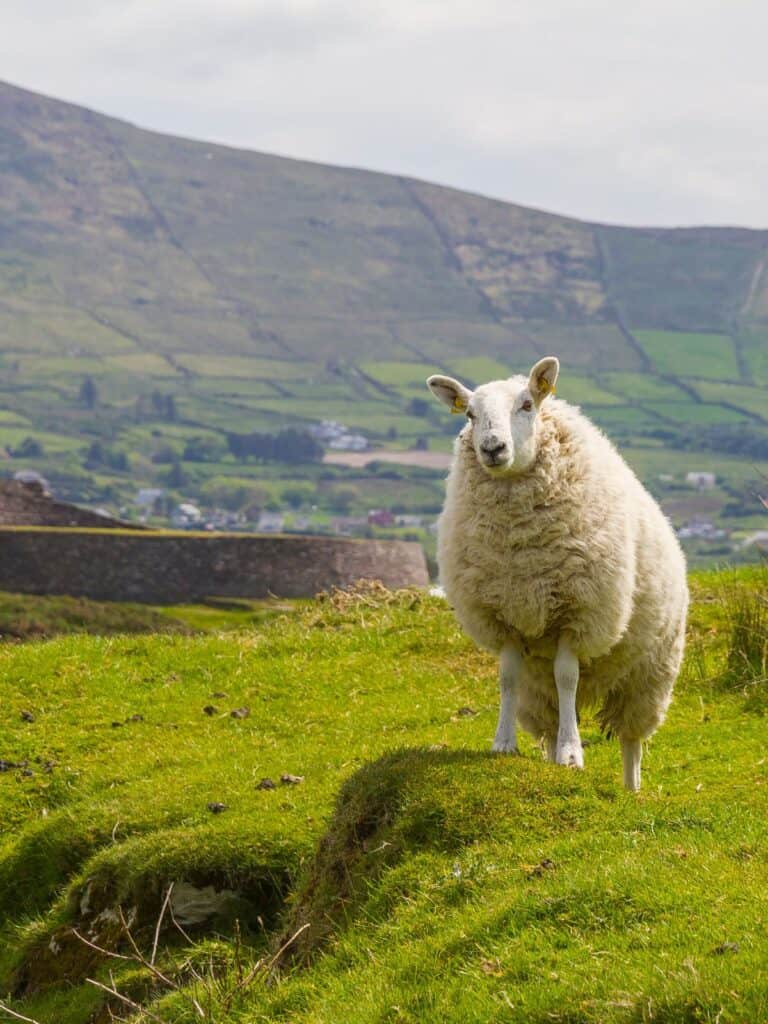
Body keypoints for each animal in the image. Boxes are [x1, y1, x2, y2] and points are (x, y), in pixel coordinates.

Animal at [426, 356, 688, 790]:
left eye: (527, 404)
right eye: (469, 414)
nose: (492, 448)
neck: (520, 547)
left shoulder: (578, 615)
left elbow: (567, 676)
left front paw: (572, 754)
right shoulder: (503, 616)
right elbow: (506, 678)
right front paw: (504, 745)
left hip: (649, 673)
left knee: (631, 740)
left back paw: (631, 789)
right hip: (539, 688)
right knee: (550, 715)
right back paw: (549, 757)